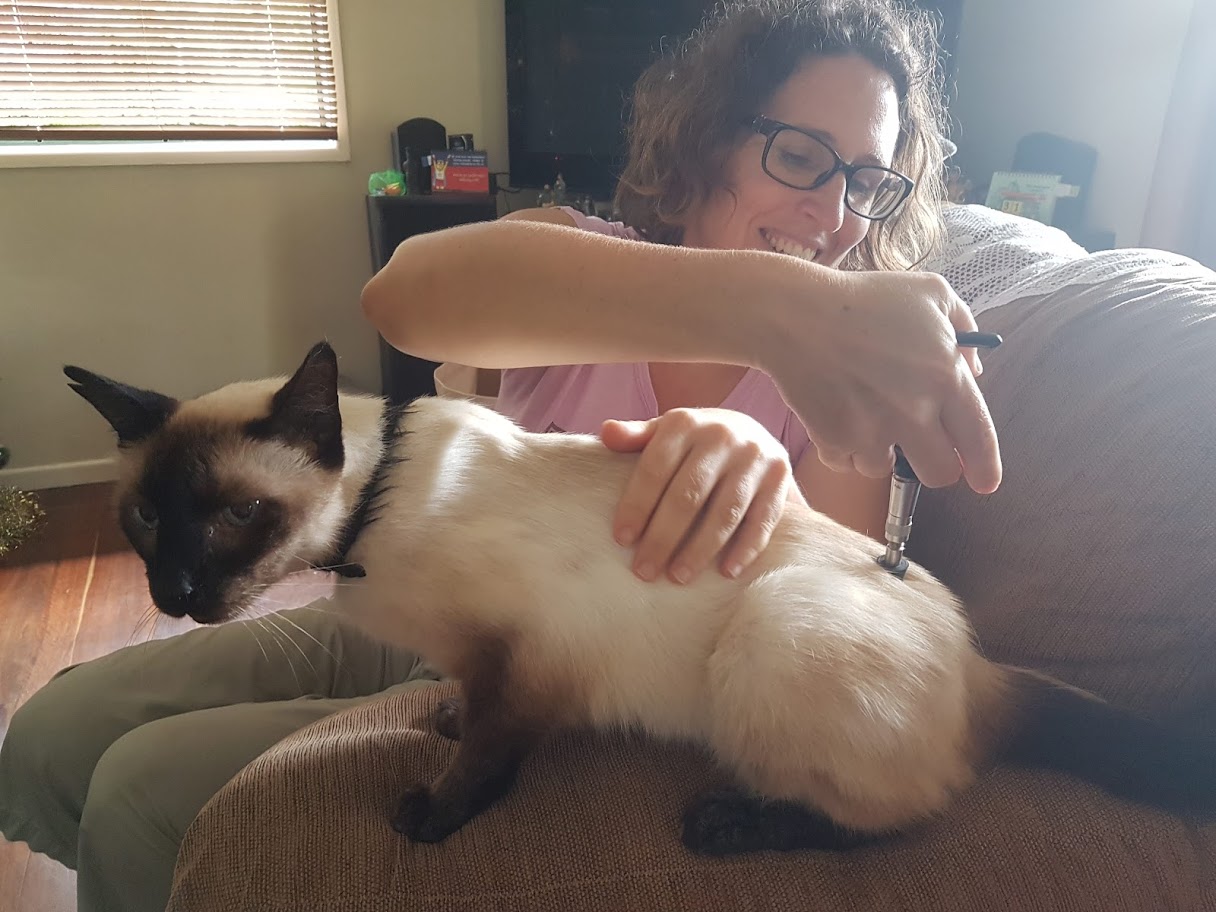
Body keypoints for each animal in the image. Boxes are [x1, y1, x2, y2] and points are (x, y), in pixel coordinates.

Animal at [64, 340, 1216, 855]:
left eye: (232, 516)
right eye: (147, 519)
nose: (175, 593)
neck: (371, 526)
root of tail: (981, 667)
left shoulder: (523, 655)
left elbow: (488, 754)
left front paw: (433, 815)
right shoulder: (480, 658)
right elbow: (464, 709)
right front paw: (441, 721)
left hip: (775, 627)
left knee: (899, 821)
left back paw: (729, 826)